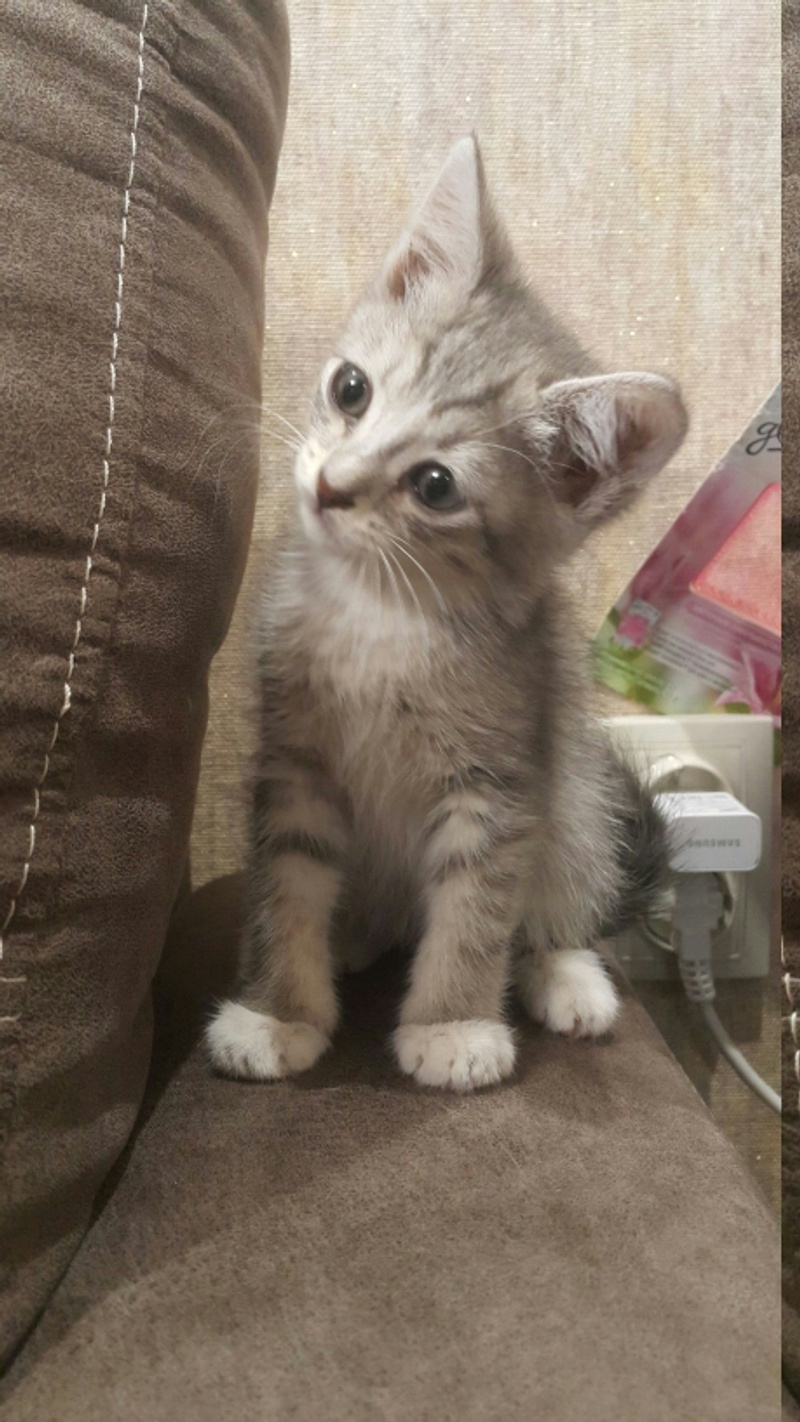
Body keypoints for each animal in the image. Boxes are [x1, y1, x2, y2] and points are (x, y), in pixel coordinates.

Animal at [205, 135, 687, 1092]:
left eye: (434, 485)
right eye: (351, 389)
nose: (329, 484)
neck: (378, 609)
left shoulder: (500, 781)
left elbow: (475, 908)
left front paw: (453, 1025)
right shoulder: (295, 762)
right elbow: (286, 882)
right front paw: (279, 1012)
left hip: (573, 789)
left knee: (563, 888)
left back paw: (564, 971)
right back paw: (353, 939)